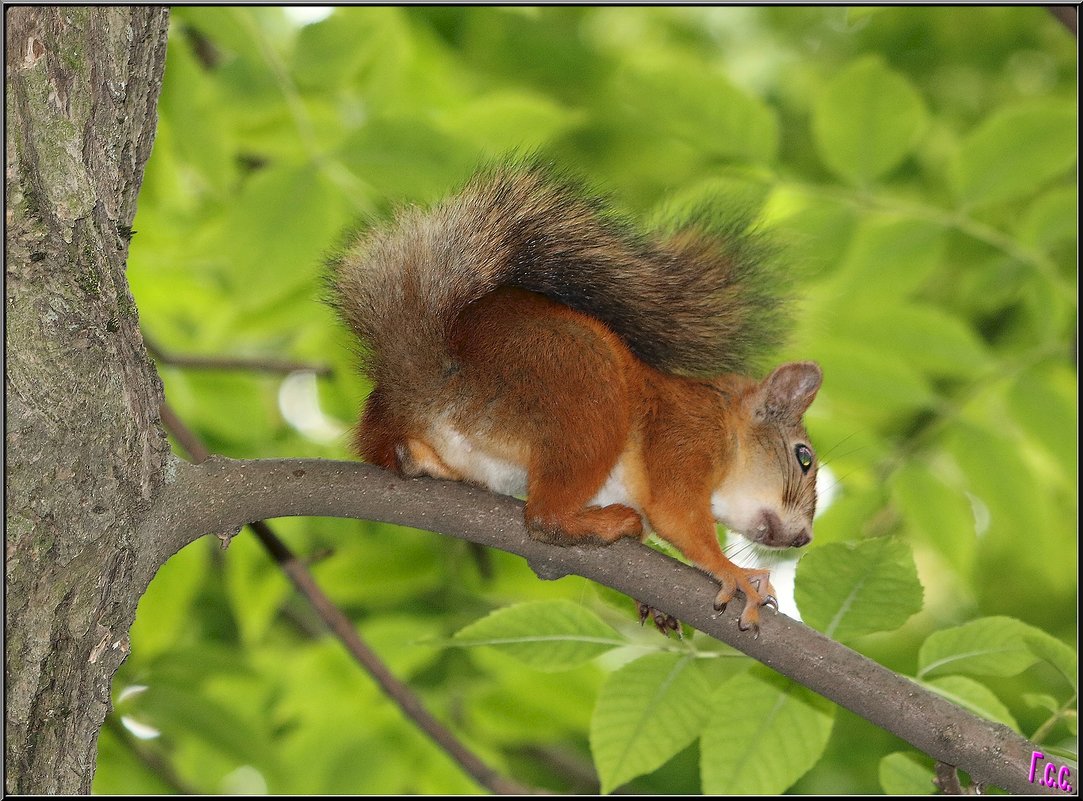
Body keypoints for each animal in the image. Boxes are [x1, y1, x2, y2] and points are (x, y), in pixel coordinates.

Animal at [329, 162, 818, 632]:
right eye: (804, 457)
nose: (805, 539)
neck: (724, 421)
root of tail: (431, 379)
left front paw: (653, 605)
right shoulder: (685, 435)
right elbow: (676, 513)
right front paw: (734, 574)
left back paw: (424, 464)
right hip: (586, 386)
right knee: (544, 519)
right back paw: (602, 522)